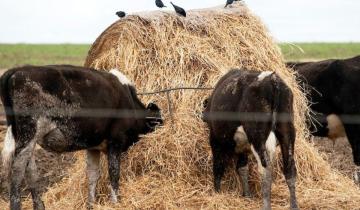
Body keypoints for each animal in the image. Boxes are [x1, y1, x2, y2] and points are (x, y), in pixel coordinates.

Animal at [0, 65, 162, 209]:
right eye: (159, 122)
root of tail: (16, 70)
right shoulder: (116, 141)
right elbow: (114, 174)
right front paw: (116, 203)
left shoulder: (93, 147)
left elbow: (92, 175)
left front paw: (91, 205)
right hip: (28, 133)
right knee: (17, 170)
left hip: (27, 138)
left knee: (31, 171)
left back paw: (39, 206)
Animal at [202, 69, 298, 210]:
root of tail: (272, 79)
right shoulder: (243, 147)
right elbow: (242, 167)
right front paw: (247, 195)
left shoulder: (215, 139)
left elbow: (218, 167)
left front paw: (217, 193)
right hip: (287, 132)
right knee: (290, 169)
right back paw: (294, 206)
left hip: (257, 136)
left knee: (265, 171)